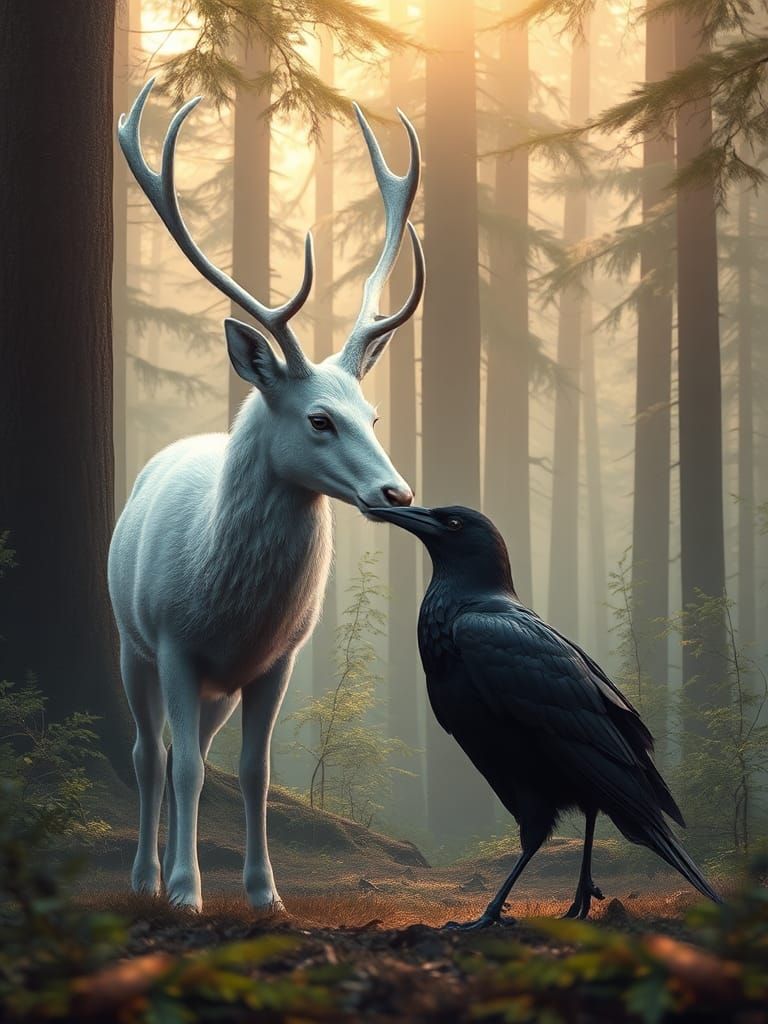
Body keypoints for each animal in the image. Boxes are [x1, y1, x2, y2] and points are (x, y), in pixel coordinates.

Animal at [108, 79, 424, 912]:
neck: (230, 601)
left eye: (372, 414)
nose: (397, 491)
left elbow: (255, 771)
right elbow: (184, 767)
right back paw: (146, 876)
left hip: (218, 685)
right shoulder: (174, 641)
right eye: (318, 418)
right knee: (149, 753)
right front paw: (188, 891)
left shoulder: (279, 657)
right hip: (128, 639)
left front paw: (264, 893)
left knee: (196, 753)